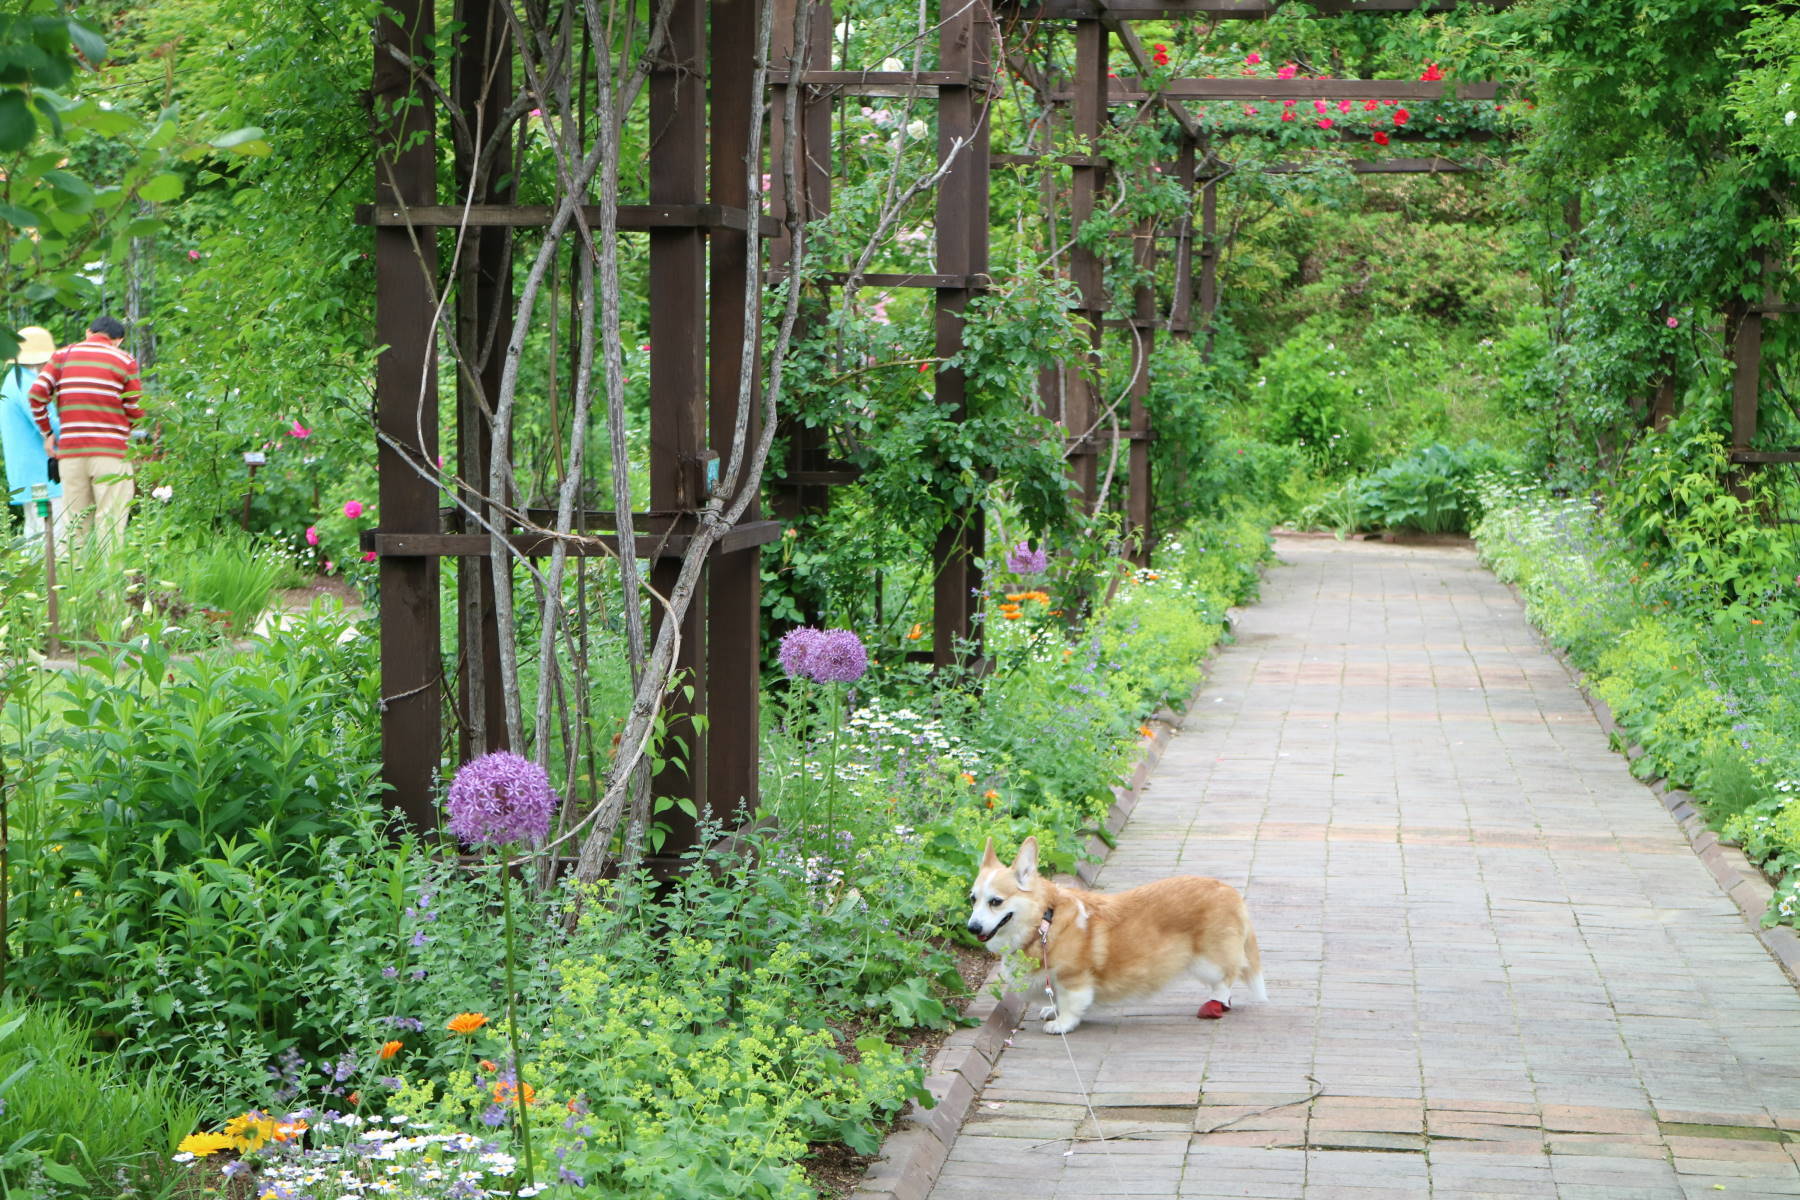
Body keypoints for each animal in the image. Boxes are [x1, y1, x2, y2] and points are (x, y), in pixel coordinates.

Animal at [972, 834, 1267, 1036]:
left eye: (996, 901)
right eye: (973, 899)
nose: (972, 927)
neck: (1045, 921)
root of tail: (1230, 891)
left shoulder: (1073, 979)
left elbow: (1070, 1003)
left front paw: (1061, 1023)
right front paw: (1050, 1010)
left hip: (1208, 961)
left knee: (1225, 980)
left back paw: (1214, 1005)